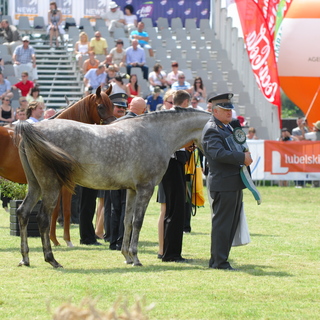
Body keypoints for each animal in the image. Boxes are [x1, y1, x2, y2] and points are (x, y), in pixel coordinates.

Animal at [0, 85, 115, 248]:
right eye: (100, 106)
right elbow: (65, 210)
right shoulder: (68, 183)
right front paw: (67, 240)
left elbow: (54, 211)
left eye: (112, 105)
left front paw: (54, 239)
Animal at [15, 107, 211, 268]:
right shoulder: (145, 188)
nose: (208, 167)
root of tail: (34, 129)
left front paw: (127, 256)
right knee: (42, 219)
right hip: (51, 186)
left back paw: (25, 258)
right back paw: (52, 259)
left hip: (36, 186)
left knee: (23, 212)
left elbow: (127, 221)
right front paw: (136, 258)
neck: (156, 134)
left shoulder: (132, 190)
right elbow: (137, 222)